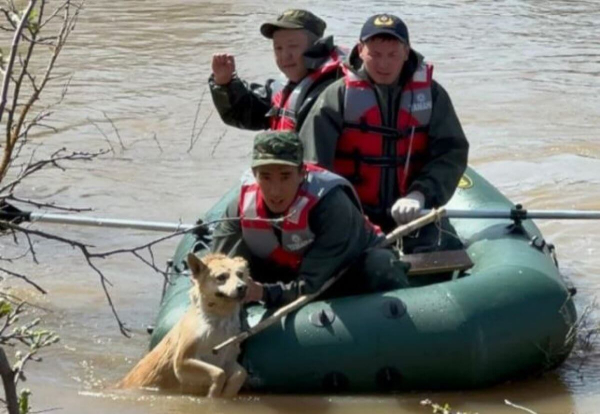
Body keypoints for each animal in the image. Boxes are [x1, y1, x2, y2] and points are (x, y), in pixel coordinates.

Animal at [117, 252, 248, 398]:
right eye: (221, 277)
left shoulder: (228, 360)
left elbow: (240, 373)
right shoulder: (182, 362)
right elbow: (219, 373)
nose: (243, 287)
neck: (219, 319)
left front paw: (225, 393)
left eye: (240, 274)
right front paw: (213, 393)